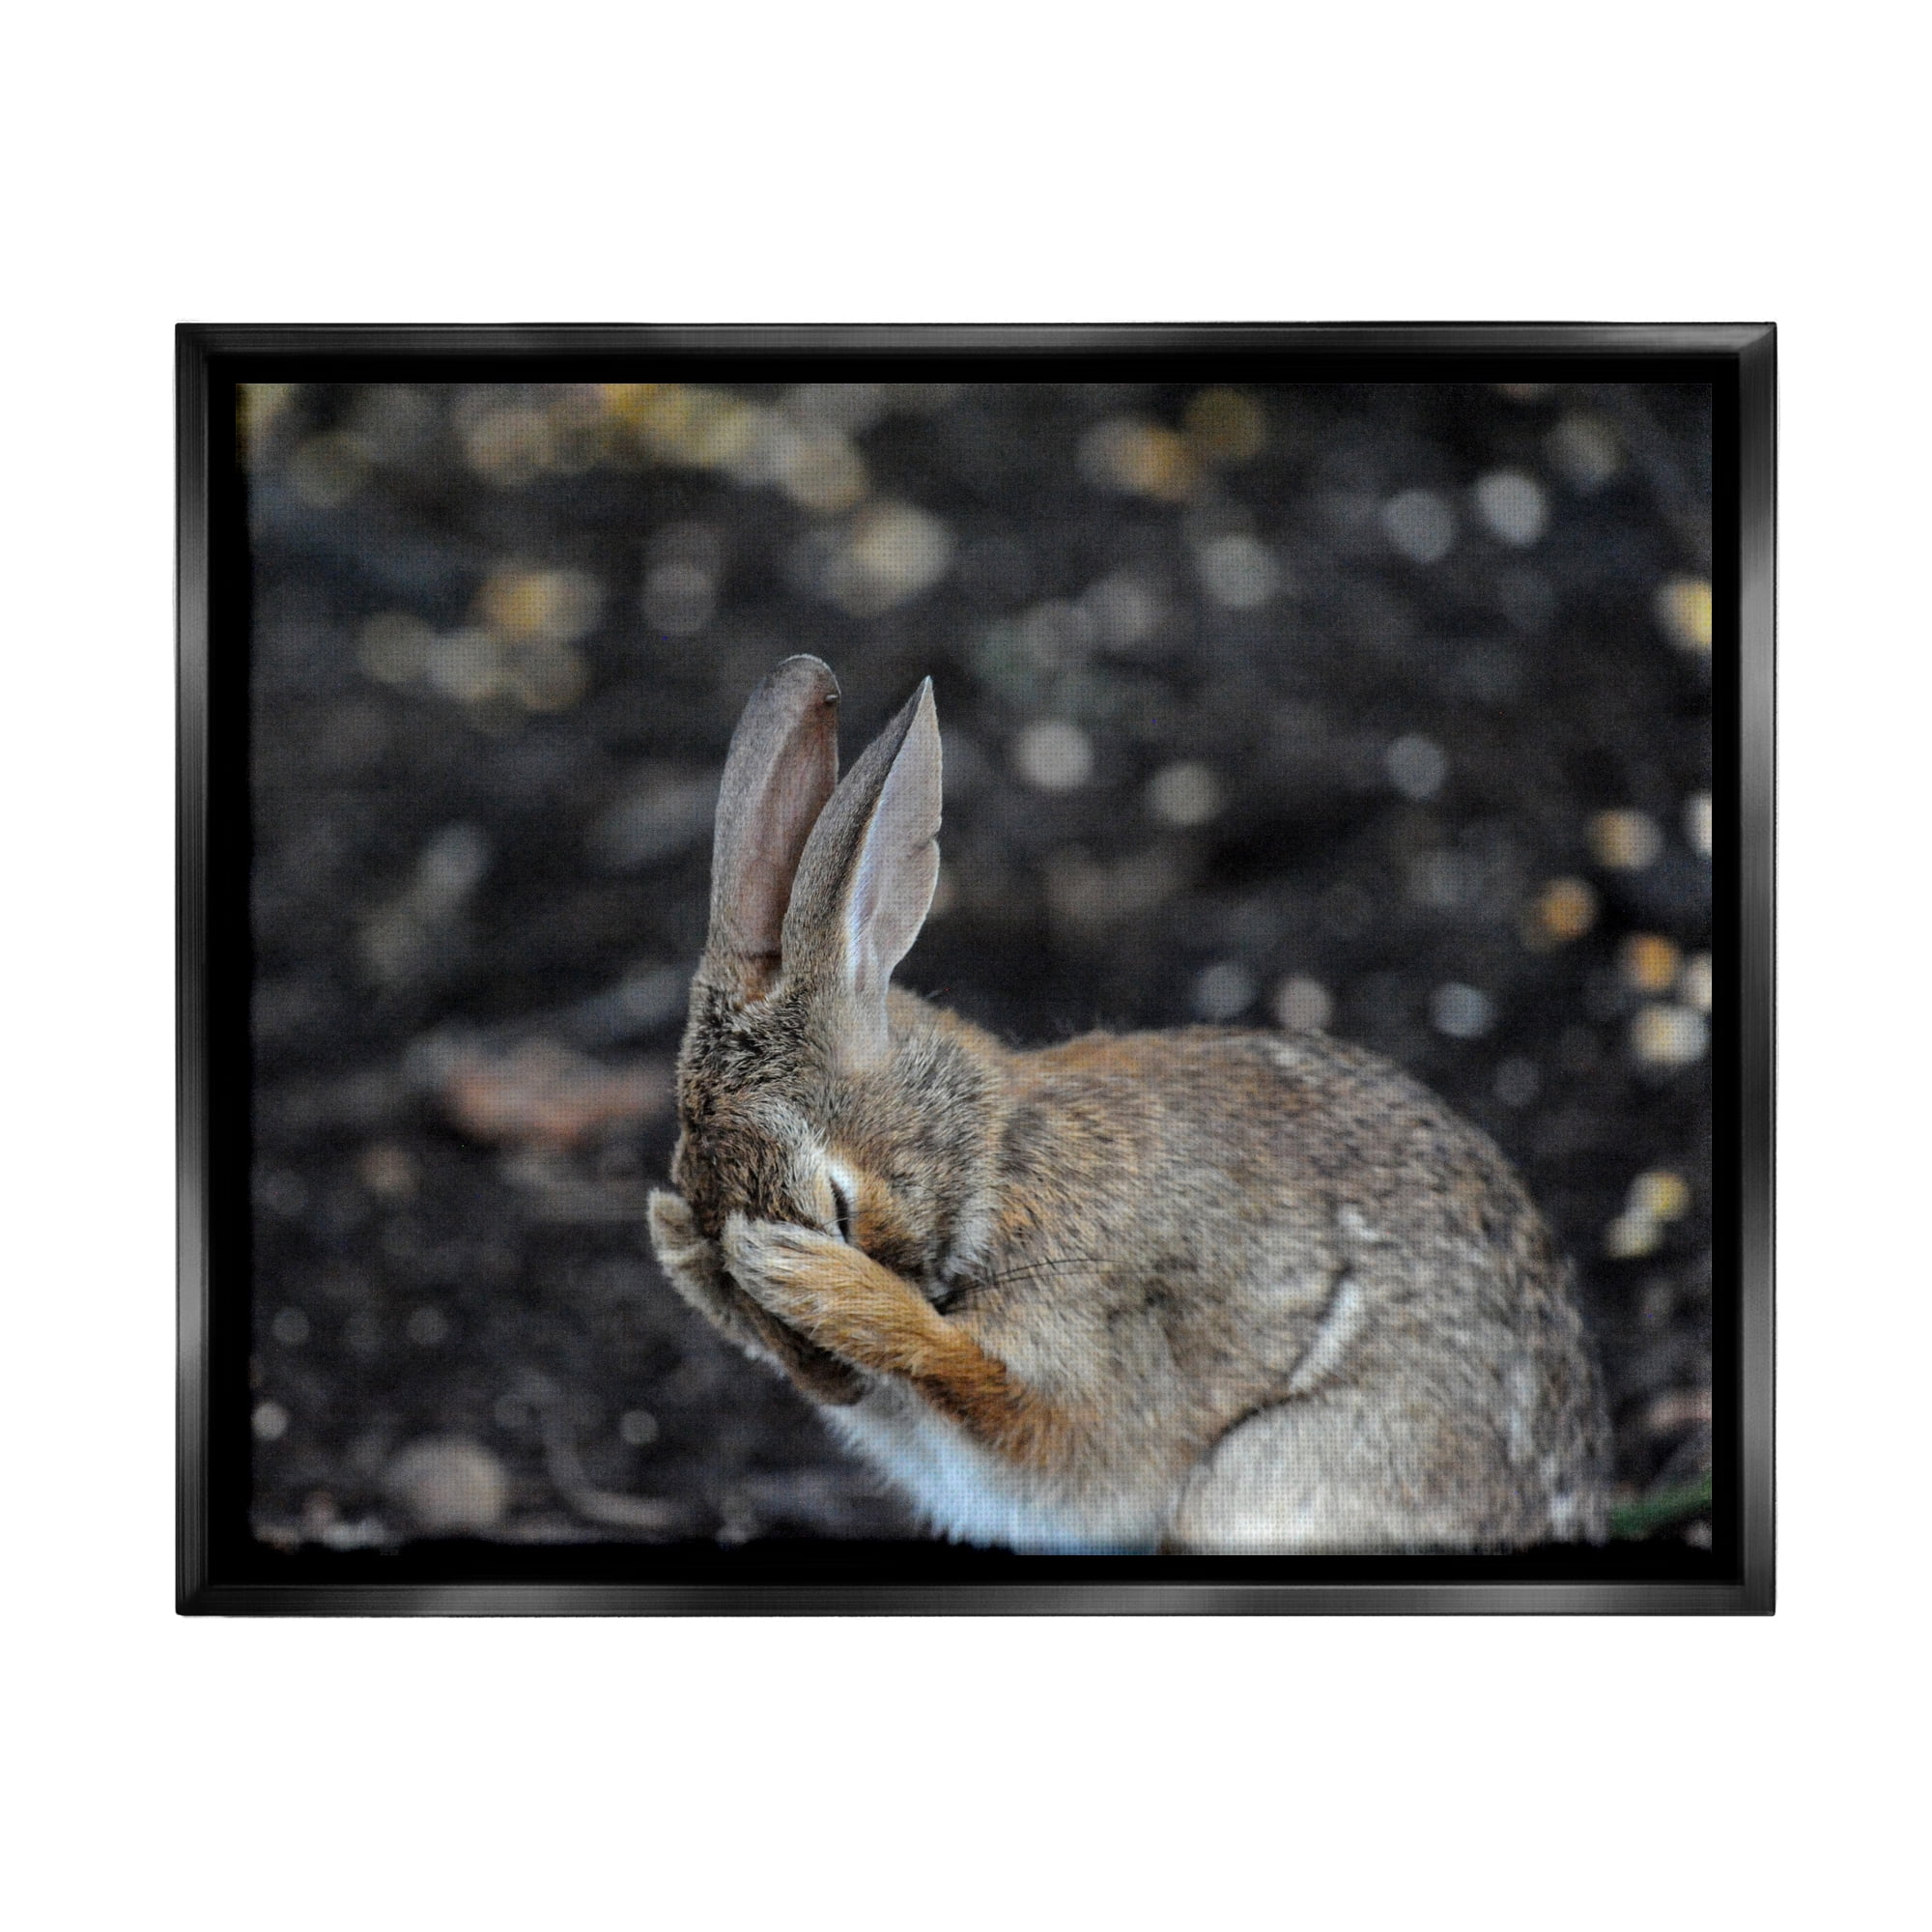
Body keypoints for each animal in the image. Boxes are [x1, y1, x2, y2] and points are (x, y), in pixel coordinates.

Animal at [647, 655, 1610, 1553]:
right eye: (712, 1253)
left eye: (837, 1205)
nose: (833, 1384)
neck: (991, 1161)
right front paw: (677, 1245)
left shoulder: (1085, 1357)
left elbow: (992, 1388)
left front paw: (813, 1280)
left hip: (1263, 1482)